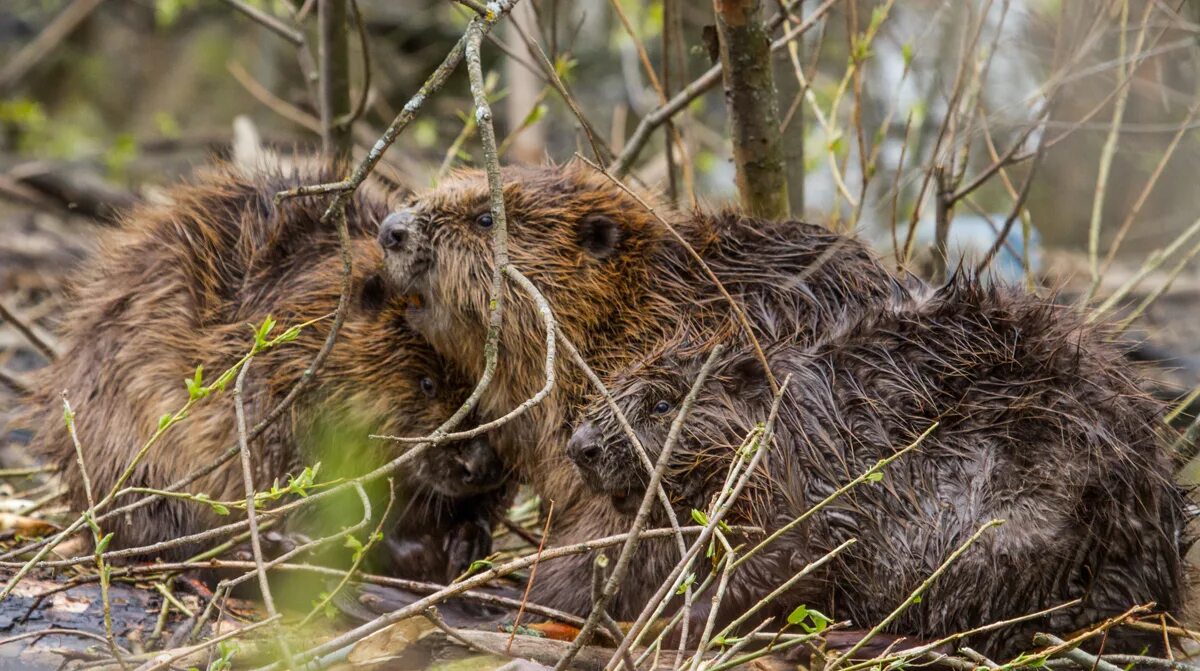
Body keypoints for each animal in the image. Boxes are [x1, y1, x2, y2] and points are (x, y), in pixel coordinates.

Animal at [568, 276, 1190, 657]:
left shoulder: (808, 492)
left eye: (663, 404)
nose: (581, 446)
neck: (796, 417)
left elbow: (784, 563)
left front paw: (661, 624)